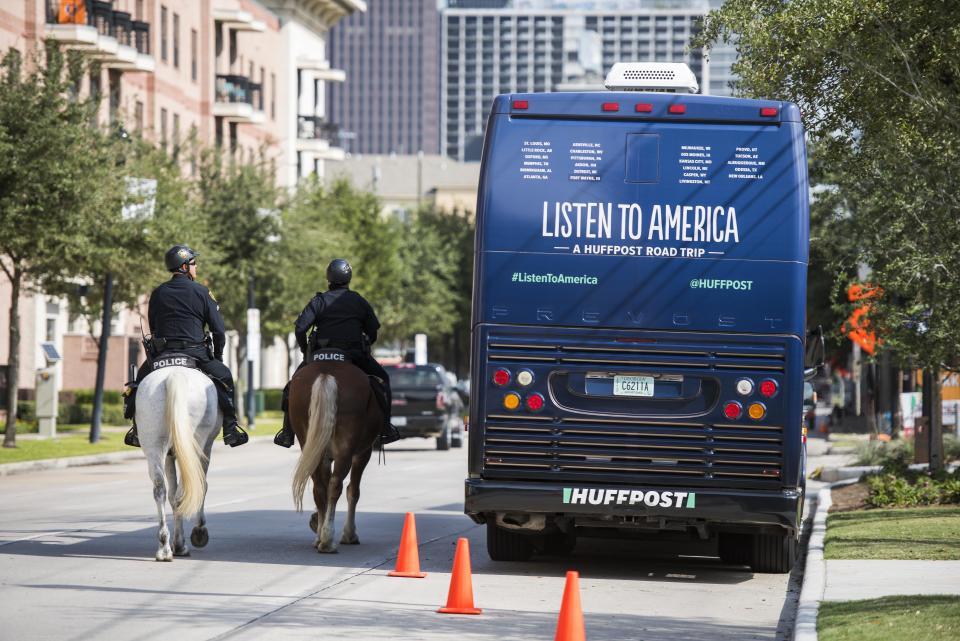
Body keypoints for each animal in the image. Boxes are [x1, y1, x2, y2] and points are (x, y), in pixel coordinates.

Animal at [135, 364, 219, 560]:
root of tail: (174, 375)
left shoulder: (169, 455)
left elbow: (172, 494)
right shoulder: (206, 448)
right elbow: (202, 485)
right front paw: (199, 530)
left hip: (154, 443)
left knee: (160, 490)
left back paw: (164, 546)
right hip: (197, 441)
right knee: (184, 492)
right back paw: (180, 545)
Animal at [288, 360, 382, 552]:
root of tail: (326, 373)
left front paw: (317, 522)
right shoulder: (363, 453)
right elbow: (353, 491)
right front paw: (349, 534)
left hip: (308, 443)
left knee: (319, 488)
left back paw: (320, 537)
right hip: (345, 450)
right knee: (336, 485)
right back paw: (327, 540)